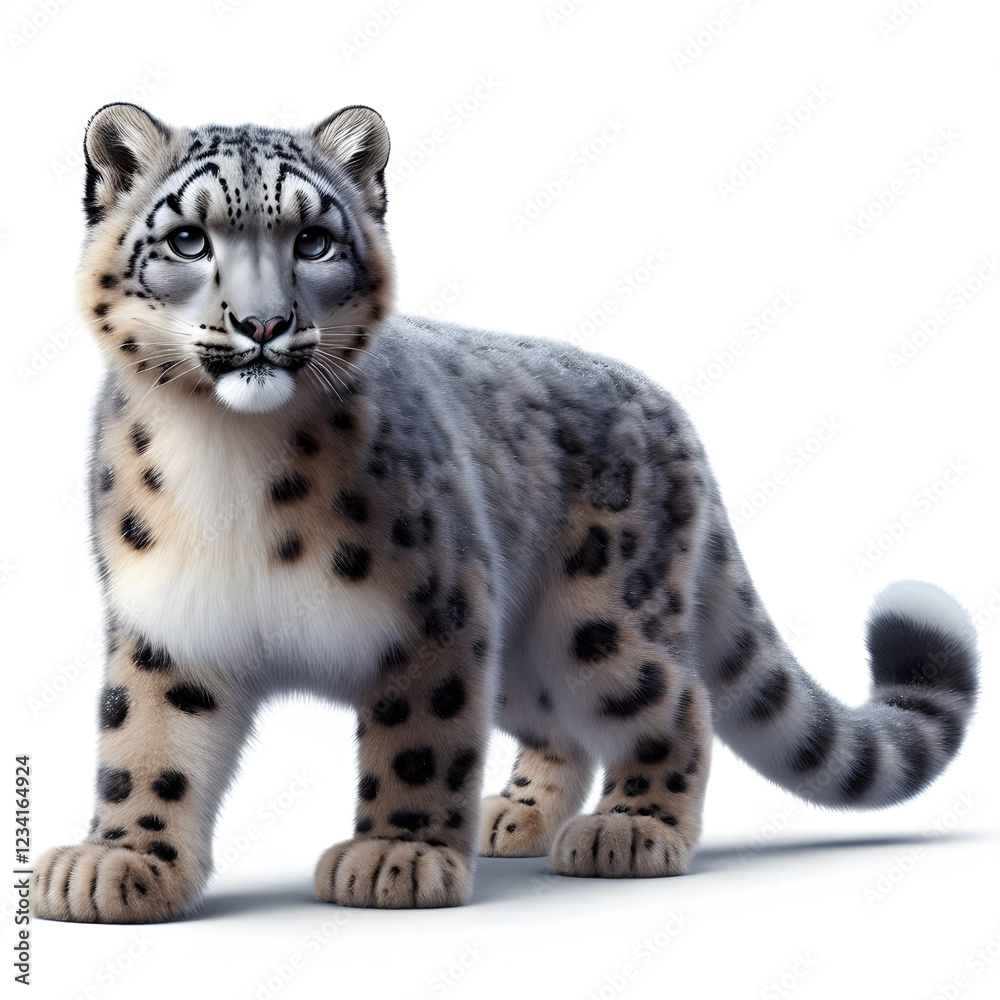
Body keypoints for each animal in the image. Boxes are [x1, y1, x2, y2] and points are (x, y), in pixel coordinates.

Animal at [31, 102, 980, 922]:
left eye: (314, 239)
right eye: (188, 239)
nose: (263, 324)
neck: (227, 454)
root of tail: (671, 411)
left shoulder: (439, 607)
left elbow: (419, 739)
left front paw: (399, 853)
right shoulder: (168, 623)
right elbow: (146, 747)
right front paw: (120, 860)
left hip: (599, 620)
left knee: (677, 702)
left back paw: (632, 827)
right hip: (523, 653)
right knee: (561, 728)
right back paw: (514, 815)